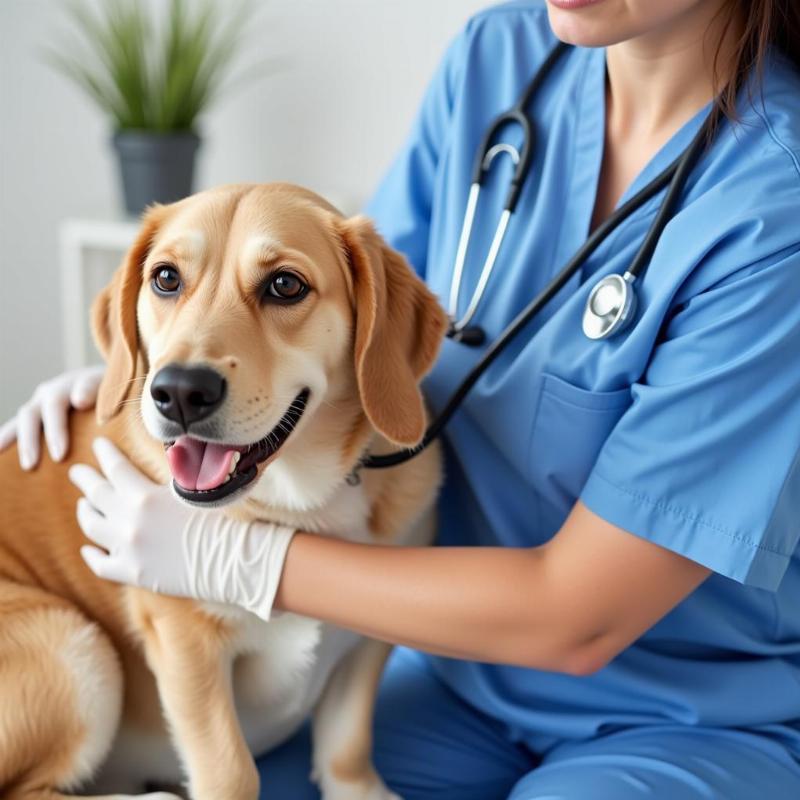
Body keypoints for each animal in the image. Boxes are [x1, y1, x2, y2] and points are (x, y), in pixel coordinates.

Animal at [0, 183, 450, 800]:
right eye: (166, 278)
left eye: (285, 285)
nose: (179, 392)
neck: (300, 503)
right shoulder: (186, 643)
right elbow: (231, 770)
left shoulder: (369, 641)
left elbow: (347, 748)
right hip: (73, 644)